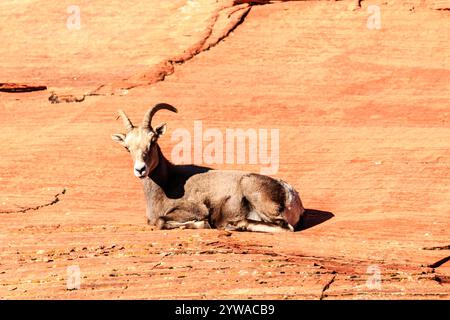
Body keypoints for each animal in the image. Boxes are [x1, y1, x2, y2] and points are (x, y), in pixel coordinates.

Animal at [110, 104, 304, 232]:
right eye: (127, 147)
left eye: (152, 140)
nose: (140, 169)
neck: (166, 186)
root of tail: (291, 195)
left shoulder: (196, 209)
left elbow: (161, 221)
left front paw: (202, 224)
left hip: (252, 189)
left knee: (284, 227)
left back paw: (234, 225)